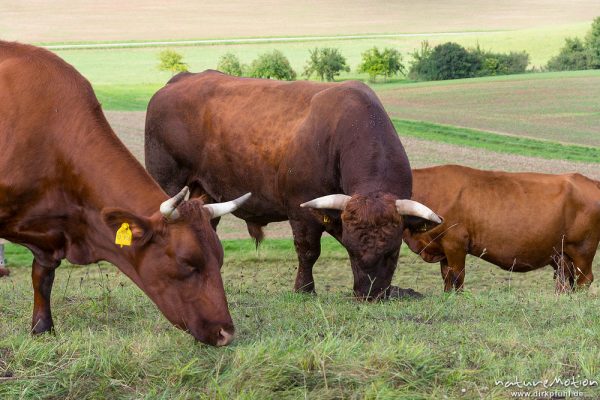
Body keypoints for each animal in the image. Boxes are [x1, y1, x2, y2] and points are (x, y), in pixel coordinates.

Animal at [0, 41, 248, 346]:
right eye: (188, 263)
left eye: (219, 260)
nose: (226, 333)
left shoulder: (52, 231)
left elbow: (43, 277)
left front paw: (42, 328)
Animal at [143, 69, 438, 300]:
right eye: (352, 251)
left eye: (393, 252)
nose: (369, 294)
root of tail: (181, 79)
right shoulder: (302, 210)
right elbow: (308, 251)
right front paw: (304, 289)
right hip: (168, 182)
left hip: (206, 192)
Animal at [404, 164, 600, 292]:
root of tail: (589, 181)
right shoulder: (443, 248)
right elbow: (447, 278)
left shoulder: (455, 244)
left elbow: (457, 278)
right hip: (562, 256)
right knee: (565, 281)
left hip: (583, 250)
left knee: (584, 280)